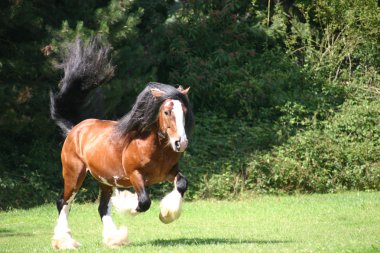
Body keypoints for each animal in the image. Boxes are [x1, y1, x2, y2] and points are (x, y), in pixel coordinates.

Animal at [49, 37, 194, 249]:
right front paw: (126, 203)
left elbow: (182, 184)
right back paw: (65, 241)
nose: (180, 143)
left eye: (184, 111)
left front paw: (167, 214)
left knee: (101, 208)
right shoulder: (135, 175)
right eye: (167, 112)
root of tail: (74, 129)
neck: (153, 147)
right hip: (74, 174)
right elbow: (143, 202)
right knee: (63, 202)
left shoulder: (169, 172)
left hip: (104, 180)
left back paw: (114, 239)